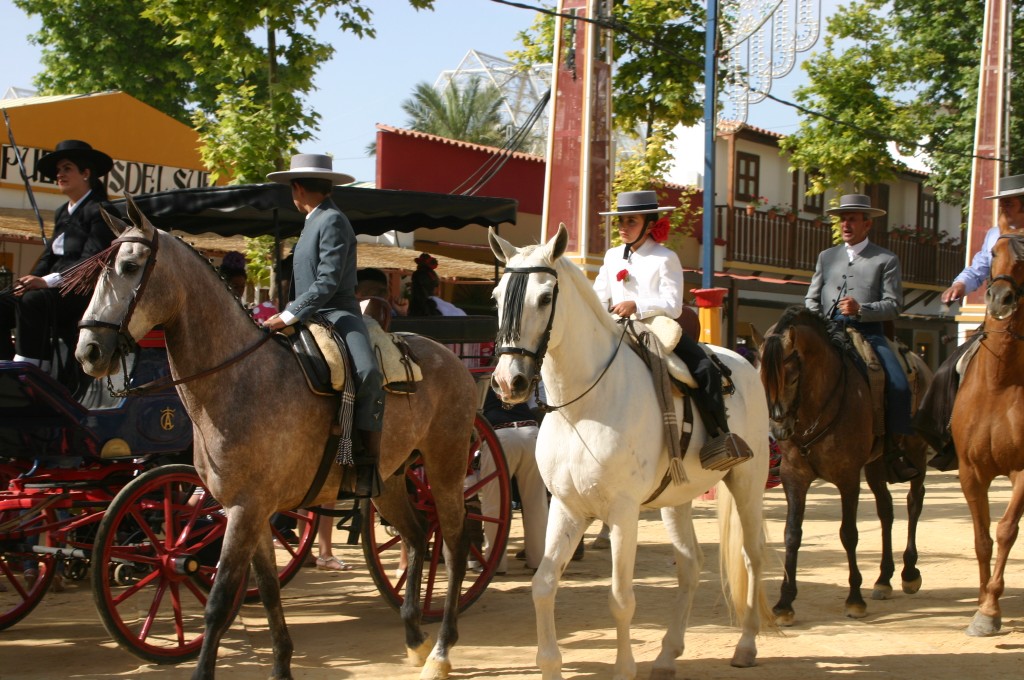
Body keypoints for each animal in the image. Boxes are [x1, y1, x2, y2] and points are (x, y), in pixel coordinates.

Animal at [74, 196, 479, 680]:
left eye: (130, 266)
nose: (88, 352)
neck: (238, 377)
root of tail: (447, 358)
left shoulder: (244, 510)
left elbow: (218, 601)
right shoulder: (252, 511)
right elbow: (267, 589)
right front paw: (282, 665)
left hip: (446, 467)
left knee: (454, 544)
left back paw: (441, 650)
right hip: (391, 480)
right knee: (418, 536)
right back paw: (415, 638)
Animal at [491, 227, 770, 680]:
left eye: (546, 297)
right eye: (497, 296)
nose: (507, 382)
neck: (582, 408)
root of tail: (741, 361)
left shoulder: (622, 514)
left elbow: (621, 598)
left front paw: (624, 668)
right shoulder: (567, 508)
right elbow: (544, 585)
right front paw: (550, 665)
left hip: (747, 482)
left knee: (752, 557)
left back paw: (746, 645)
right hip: (677, 500)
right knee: (691, 566)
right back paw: (668, 655)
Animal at [765, 307, 933, 626]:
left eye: (792, 378)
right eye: (762, 379)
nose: (779, 431)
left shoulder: (848, 478)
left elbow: (849, 534)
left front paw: (854, 598)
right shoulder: (795, 478)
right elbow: (791, 534)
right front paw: (784, 603)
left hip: (916, 452)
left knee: (914, 502)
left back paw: (909, 573)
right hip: (877, 464)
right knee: (886, 510)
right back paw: (883, 578)